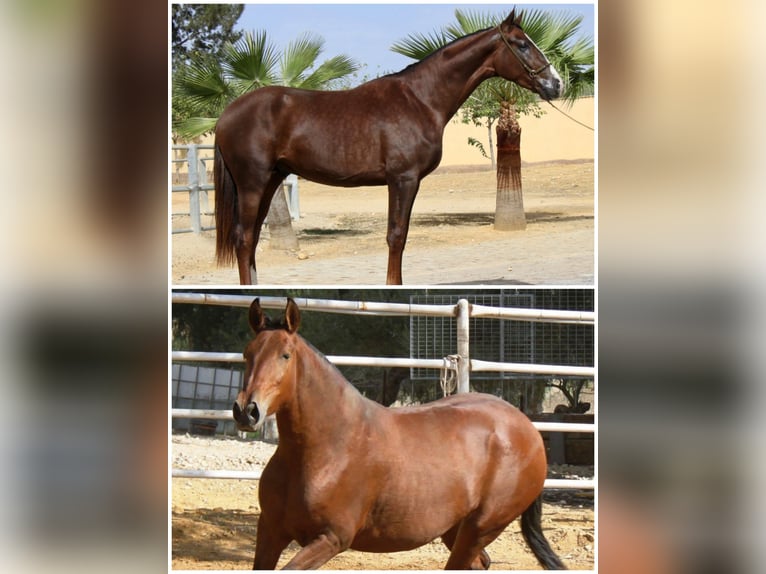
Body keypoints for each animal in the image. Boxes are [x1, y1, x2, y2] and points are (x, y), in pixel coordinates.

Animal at [216, 9, 564, 286]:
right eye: (522, 44)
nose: (557, 83)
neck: (420, 99)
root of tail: (227, 114)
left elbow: (398, 235)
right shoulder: (403, 179)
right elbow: (397, 236)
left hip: (271, 180)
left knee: (251, 238)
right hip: (253, 183)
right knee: (244, 238)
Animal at [231, 302, 568, 572]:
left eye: (285, 355)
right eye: (247, 354)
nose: (247, 411)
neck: (328, 449)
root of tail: (528, 428)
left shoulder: (331, 539)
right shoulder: (271, 530)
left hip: (481, 527)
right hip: (455, 529)